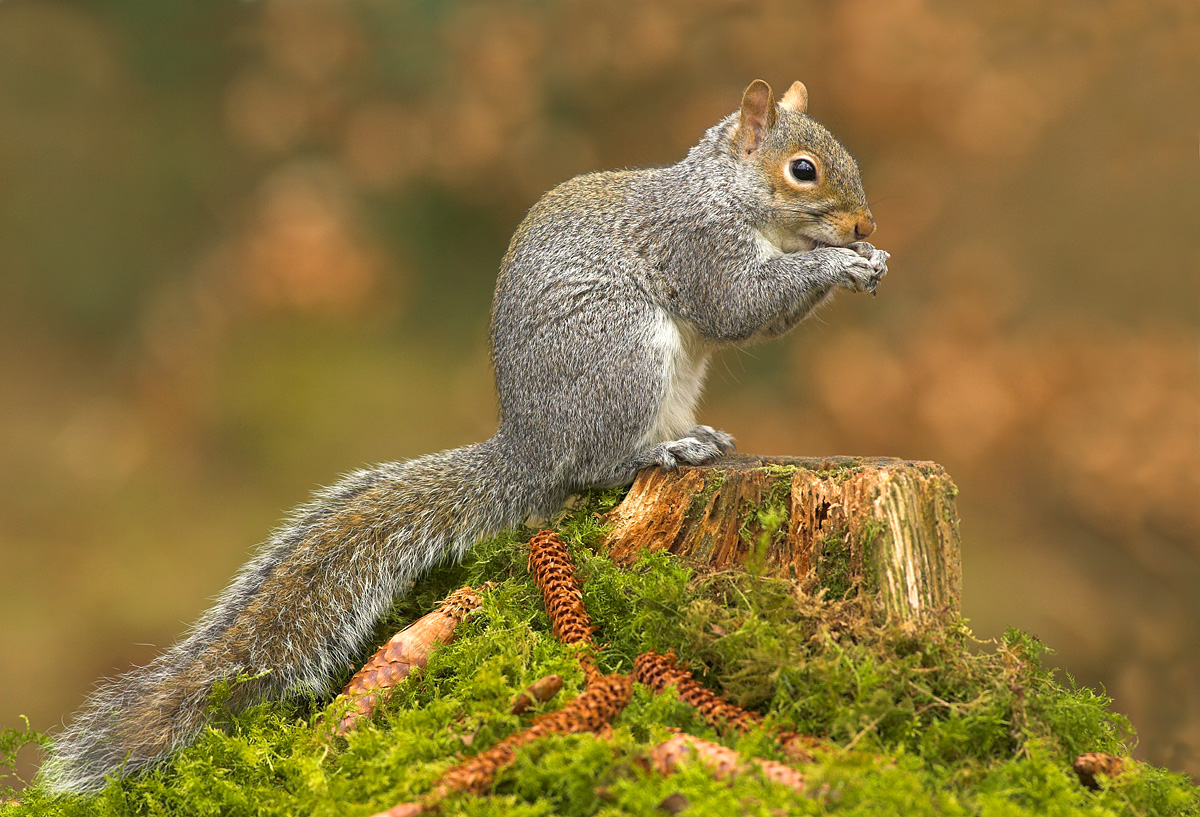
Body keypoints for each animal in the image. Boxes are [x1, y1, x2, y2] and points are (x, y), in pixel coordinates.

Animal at [41, 79, 888, 794]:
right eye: (804, 170)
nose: (865, 224)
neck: (725, 194)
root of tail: (527, 446)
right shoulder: (700, 247)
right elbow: (740, 305)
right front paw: (841, 264)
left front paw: (864, 258)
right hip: (622, 360)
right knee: (596, 466)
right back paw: (660, 449)